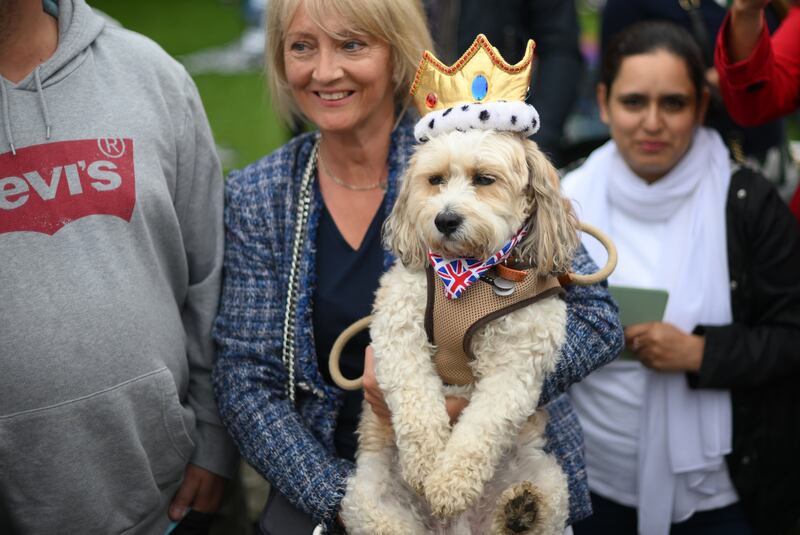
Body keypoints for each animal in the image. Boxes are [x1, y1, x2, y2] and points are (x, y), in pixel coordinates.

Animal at [340, 126, 580, 535]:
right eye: (435, 180)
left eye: (484, 179)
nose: (445, 220)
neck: (469, 274)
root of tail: (453, 528)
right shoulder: (399, 333)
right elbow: (416, 404)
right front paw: (425, 467)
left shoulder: (515, 366)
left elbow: (482, 428)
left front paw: (448, 484)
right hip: (365, 498)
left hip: (547, 476)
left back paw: (520, 510)